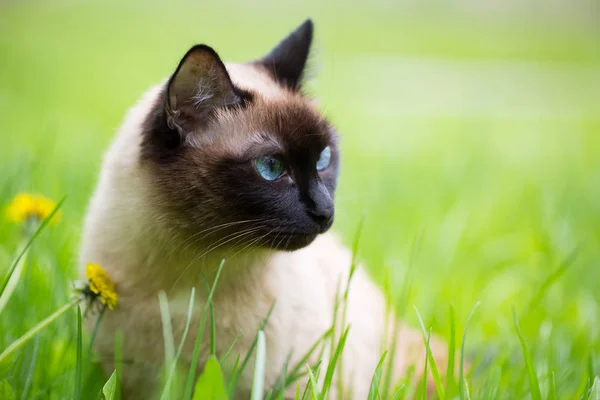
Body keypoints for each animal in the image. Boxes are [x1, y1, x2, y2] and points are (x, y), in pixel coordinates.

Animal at [78, 17, 446, 398]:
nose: (325, 212)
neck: (187, 288)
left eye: (324, 159)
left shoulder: (301, 382)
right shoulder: (131, 381)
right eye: (271, 167)